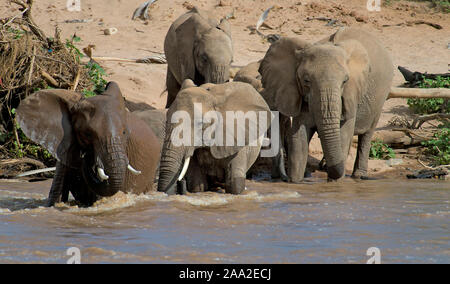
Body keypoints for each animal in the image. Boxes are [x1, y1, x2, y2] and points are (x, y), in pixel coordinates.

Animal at [258, 28, 392, 182]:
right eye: (306, 81)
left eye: (345, 81)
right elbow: (299, 136)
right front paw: (295, 182)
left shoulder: (350, 96)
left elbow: (344, 134)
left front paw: (334, 183)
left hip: (380, 99)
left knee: (367, 134)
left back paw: (359, 176)